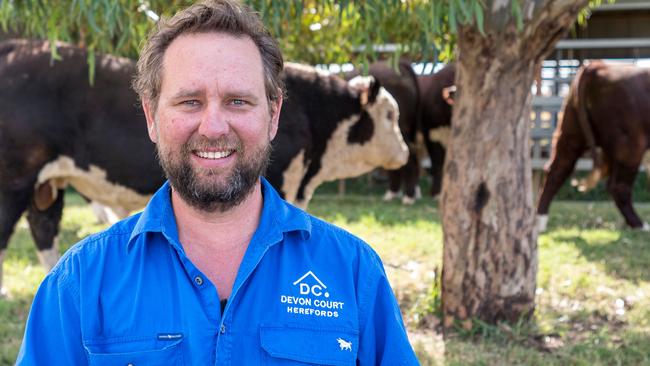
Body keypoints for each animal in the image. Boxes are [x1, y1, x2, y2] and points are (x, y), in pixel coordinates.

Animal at [536, 61, 648, 230]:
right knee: (619, 186)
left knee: (556, 171)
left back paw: (539, 223)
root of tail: (598, 66)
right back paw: (639, 225)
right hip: (631, 143)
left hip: (570, 133)